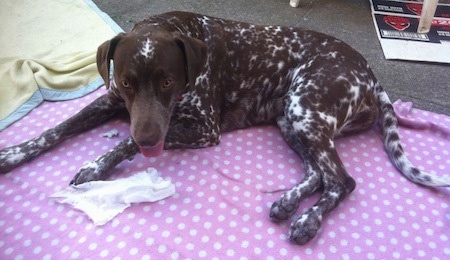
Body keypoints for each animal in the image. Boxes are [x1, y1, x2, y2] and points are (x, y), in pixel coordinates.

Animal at [0, 11, 450, 244]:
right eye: (126, 82)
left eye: (168, 81)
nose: (148, 138)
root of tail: (370, 73)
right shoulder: (113, 101)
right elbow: (57, 130)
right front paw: (13, 153)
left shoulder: (203, 129)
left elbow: (125, 141)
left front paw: (99, 164)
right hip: (292, 119)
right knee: (318, 173)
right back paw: (289, 202)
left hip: (305, 110)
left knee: (342, 180)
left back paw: (307, 221)